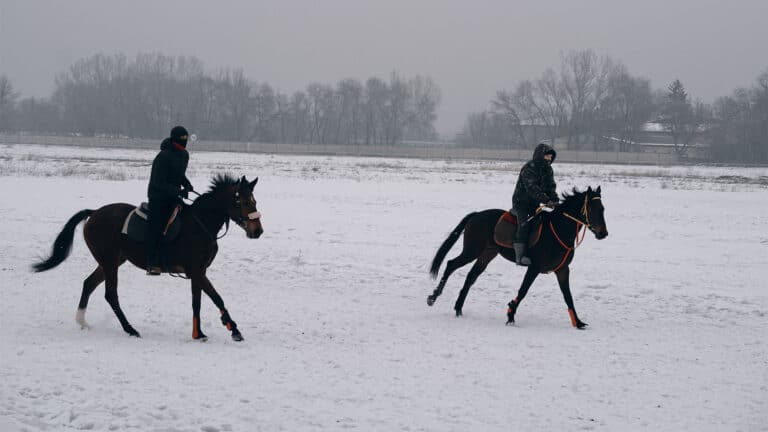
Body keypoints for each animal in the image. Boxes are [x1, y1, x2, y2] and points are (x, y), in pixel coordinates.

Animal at [33, 175, 264, 340]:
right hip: (109, 261)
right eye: (242, 202)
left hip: (112, 260)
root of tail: (95, 212)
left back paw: (82, 321)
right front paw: (230, 330)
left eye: (254, 201)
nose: (257, 231)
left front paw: (203, 333)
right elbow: (215, 298)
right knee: (110, 294)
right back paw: (130, 329)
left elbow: (200, 301)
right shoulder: (197, 271)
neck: (200, 224)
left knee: (89, 283)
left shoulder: (198, 272)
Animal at [426, 186, 608, 328]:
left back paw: (458, 307)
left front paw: (578, 322)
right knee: (451, 264)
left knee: (471, 276)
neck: (558, 230)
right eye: (592, 208)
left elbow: (568, 296)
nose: (603, 233)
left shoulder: (562, 269)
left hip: (487, 253)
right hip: (472, 250)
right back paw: (433, 297)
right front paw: (510, 313)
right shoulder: (534, 267)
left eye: (603, 209)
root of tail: (477, 215)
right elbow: (523, 290)